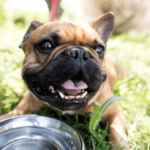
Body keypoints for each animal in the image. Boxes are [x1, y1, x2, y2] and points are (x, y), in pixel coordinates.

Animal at [0, 12, 131, 149]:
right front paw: (6, 116)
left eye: (100, 49)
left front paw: (123, 147)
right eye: (46, 45)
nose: (79, 52)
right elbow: (17, 111)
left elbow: (117, 134)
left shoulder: (114, 111)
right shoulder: (29, 101)